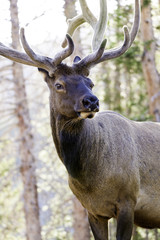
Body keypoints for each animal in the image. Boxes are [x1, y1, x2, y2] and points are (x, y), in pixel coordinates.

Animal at [0, 0, 160, 240]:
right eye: (59, 84)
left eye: (90, 82)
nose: (91, 101)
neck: (90, 180)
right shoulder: (92, 210)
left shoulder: (128, 200)